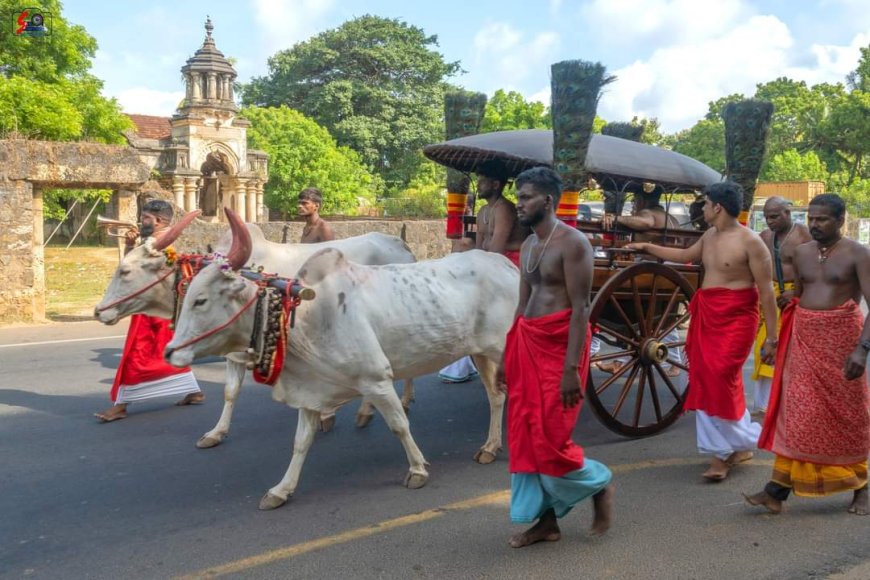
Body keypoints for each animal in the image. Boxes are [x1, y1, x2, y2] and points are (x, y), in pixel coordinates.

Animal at [95, 213, 418, 444]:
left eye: (125, 271)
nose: (99, 311)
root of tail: (399, 243)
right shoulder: (236, 352)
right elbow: (229, 392)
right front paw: (216, 433)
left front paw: (326, 416)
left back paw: (394, 403)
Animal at [165, 211, 516, 510]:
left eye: (200, 300)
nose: (170, 351)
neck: (306, 316)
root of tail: (507, 267)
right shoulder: (310, 389)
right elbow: (300, 441)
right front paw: (281, 489)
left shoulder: (376, 379)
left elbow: (400, 426)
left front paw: (418, 469)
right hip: (481, 354)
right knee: (497, 397)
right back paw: (489, 447)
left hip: (500, 351)